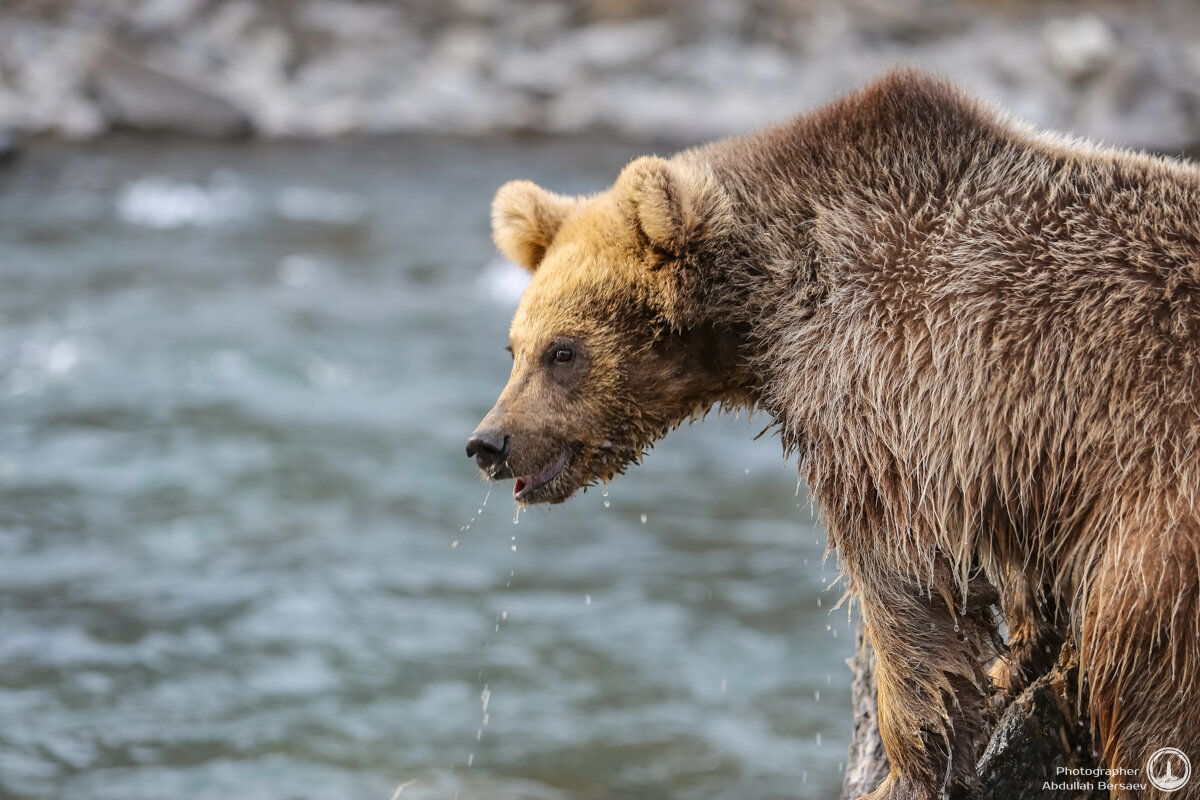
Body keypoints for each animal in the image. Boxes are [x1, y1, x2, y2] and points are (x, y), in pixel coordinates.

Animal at [466, 70, 1200, 800]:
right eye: (514, 348)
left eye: (563, 351)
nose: (487, 443)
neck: (769, 305)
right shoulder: (1017, 446)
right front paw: (1015, 665)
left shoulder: (891, 380)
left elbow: (904, 582)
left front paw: (907, 766)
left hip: (1164, 501)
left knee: (1143, 659)